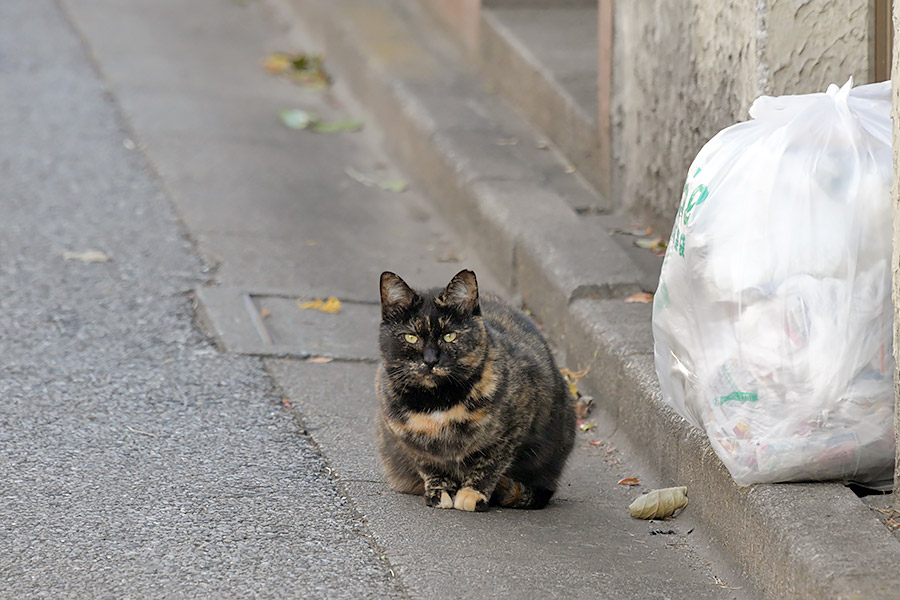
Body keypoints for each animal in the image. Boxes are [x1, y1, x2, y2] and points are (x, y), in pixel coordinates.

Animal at [374, 270, 572, 508]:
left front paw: (472, 493)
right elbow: (429, 464)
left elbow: (490, 462)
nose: (430, 360)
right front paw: (440, 491)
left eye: (449, 335)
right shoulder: (405, 436)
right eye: (411, 337)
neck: (436, 401)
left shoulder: (514, 424)